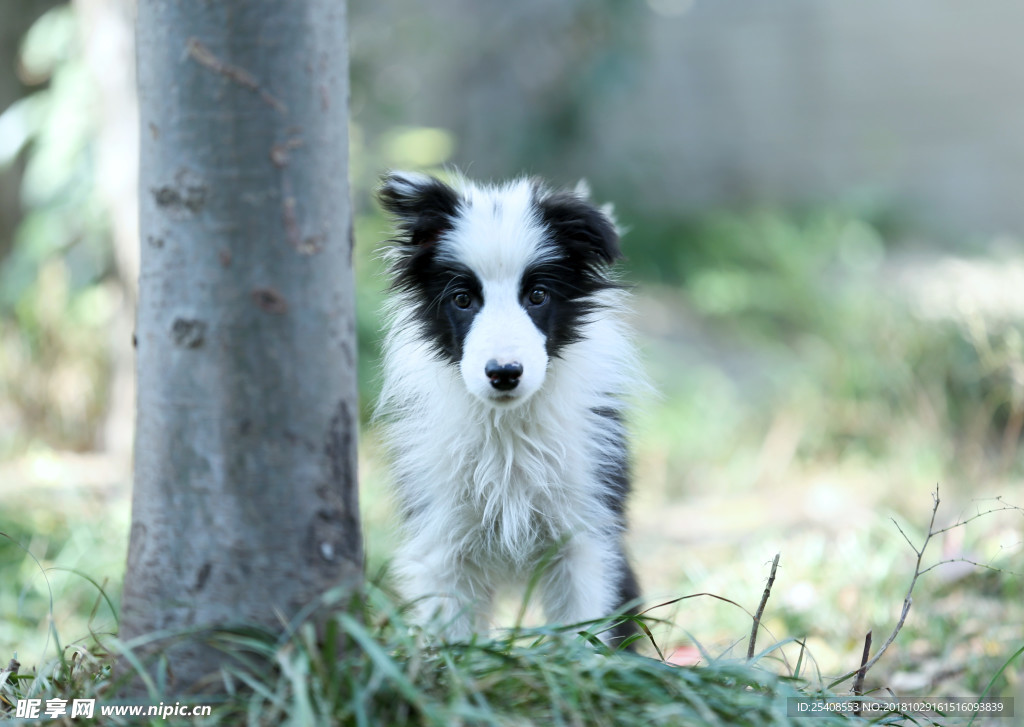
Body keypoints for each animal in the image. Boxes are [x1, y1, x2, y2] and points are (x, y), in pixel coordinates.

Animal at [376, 174, 638, 647]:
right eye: (463, 299)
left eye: (537, 295)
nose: (504, 373)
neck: (507, 431)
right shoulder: (442, 542)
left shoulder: (585, 534)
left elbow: (582, 630)